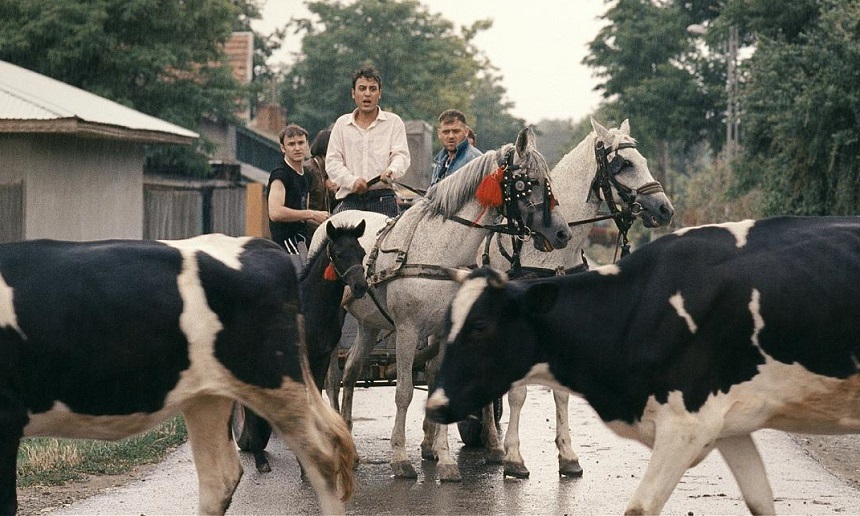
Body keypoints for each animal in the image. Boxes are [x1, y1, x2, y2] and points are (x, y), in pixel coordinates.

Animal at [310, 127, 572, 482]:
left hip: (368, 324)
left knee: (350, 372)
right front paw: (400, 458)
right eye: (528, 181)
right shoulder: (408, 330)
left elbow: (439, 383)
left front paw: (444, 459)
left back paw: (350, 437)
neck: (438, 253)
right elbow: (404, 392)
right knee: (332, 379)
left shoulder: (448, 331)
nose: (562, 233)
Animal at [428, 216, 860, 512]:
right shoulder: (730, 426)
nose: (435, 406)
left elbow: (639, 507)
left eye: (480, 326)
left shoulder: (686, 426)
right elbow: (760, 502)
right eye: (448, 322)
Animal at [488, 118, 676, 480]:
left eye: (643, 159)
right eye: (625, 164)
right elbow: (518, 392)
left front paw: (568, 455)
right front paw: (514, 458)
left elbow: (561, 393)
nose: (665, 209)